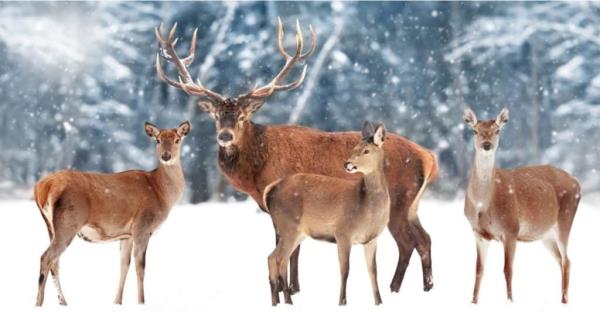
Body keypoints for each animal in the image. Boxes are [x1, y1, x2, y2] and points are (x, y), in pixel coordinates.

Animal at [32, 120, 190, 306]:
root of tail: (42, 187)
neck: (161, 192)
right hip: (68, 223)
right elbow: (140, 267)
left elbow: (124, 266)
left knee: (55, 263)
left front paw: (117, 302)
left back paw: (63, 302)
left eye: (177, 139)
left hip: (51, 226)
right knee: (46, 257)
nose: (166, 156)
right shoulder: (143, 227)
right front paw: (141, 302)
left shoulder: (127, 235)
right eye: (157, 140)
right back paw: (39, 303)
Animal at [264, 121, 390, 304]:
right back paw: (288, 301)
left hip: (295, 232)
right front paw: (342, 302)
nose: (347, 164)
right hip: (288, 226)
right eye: (354, 148)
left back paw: (276, 302)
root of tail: (270, 190)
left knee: (272, 258)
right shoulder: (343, 232)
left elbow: (373, 271)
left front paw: (379, 302)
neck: (367, 209)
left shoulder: (371, 239)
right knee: (280, 260)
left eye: (366, 150)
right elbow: (345, 270)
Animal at [462, 107, 580, 302]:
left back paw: (564, 301)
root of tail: (577, 182)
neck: (482, 204)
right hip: (546, 235)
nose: (486, 145)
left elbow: (507, 270)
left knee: (567, 260)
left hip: (565, 220)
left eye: (497, 130)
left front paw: (510, 301)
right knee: (561, 260)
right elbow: (479, 270)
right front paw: (473, 301)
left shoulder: (511, 229)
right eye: (474, 130)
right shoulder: (478, 233)